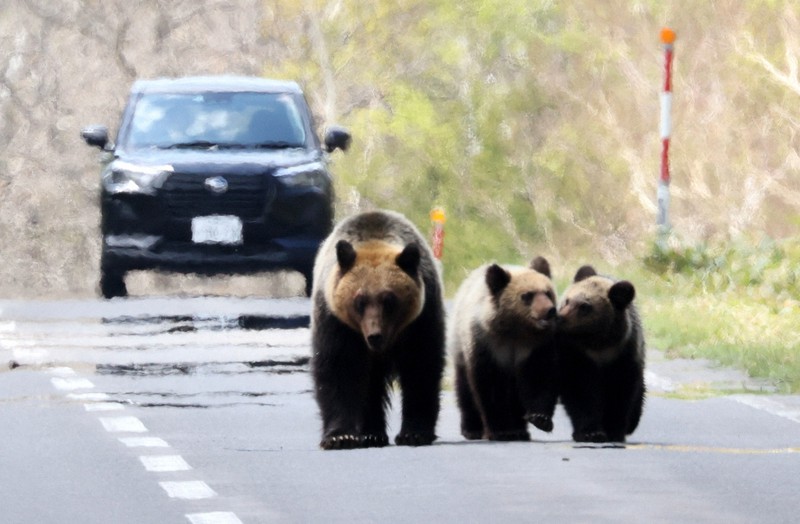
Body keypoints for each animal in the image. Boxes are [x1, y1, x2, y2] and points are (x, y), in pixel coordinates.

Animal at [310, 209, 446, 450]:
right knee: (368, 384)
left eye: (389, 300)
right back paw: (371, 434)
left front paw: (414, 433)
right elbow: (338, 367)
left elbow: (421, 367)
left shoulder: (421, 319)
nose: (375, 336)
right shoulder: (336, 322)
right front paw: (340, 437)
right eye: (359, 300)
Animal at [448, 257, 559, 441]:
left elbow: (539, 376)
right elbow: (489, 383)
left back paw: (520, 429)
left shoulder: (537, 345)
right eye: (527, 295)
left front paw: (540, 419)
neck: (515, 329)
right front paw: (501, 430)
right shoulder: (486, 342)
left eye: (548, 292)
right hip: (459, 344)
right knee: (464, 388)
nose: (550, 310)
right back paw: (472, 429)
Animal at [556, 265, 646, 443]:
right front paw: (590, 432)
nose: (560, 318)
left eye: (585, 306)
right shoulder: (575, 355)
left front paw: (614, 431)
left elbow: (621, 393)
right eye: (567, 300)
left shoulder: (625, 356)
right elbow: (581, 392)